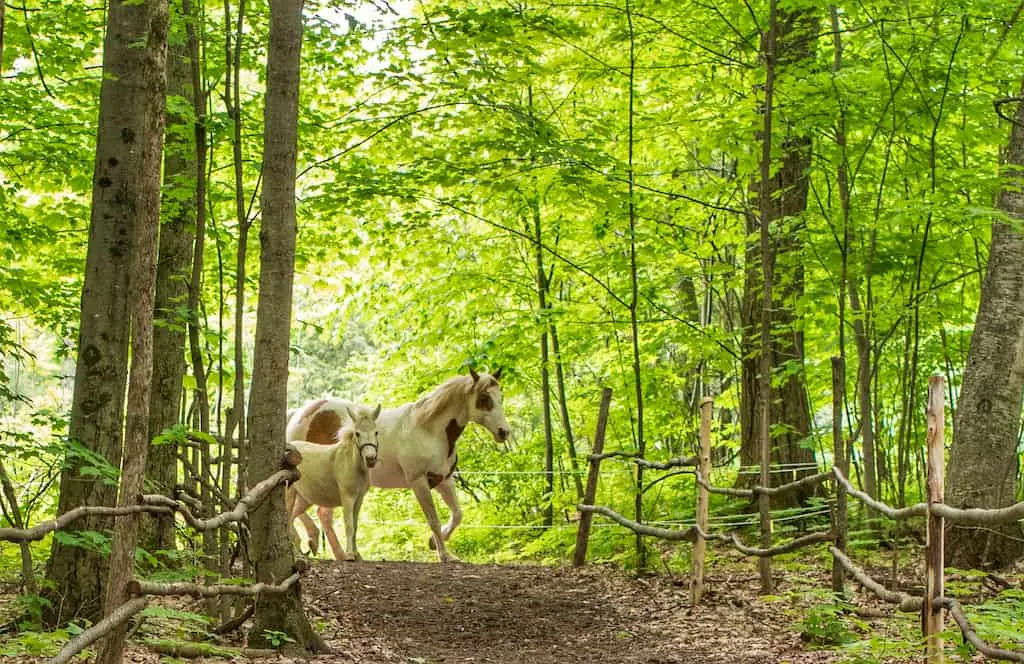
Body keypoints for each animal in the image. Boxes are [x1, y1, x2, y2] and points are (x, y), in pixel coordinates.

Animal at [286, 368, 509, 561]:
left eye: (501, 397)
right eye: (484, 399)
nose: (504, 432)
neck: (429, 430)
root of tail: (300, 414)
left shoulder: (444, 480)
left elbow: (457, 515)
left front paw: (435, 545)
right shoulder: (419, 481)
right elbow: (433, 519)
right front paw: (444, 555)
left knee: (320, 514)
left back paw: (335, 552)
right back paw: (310, 541)